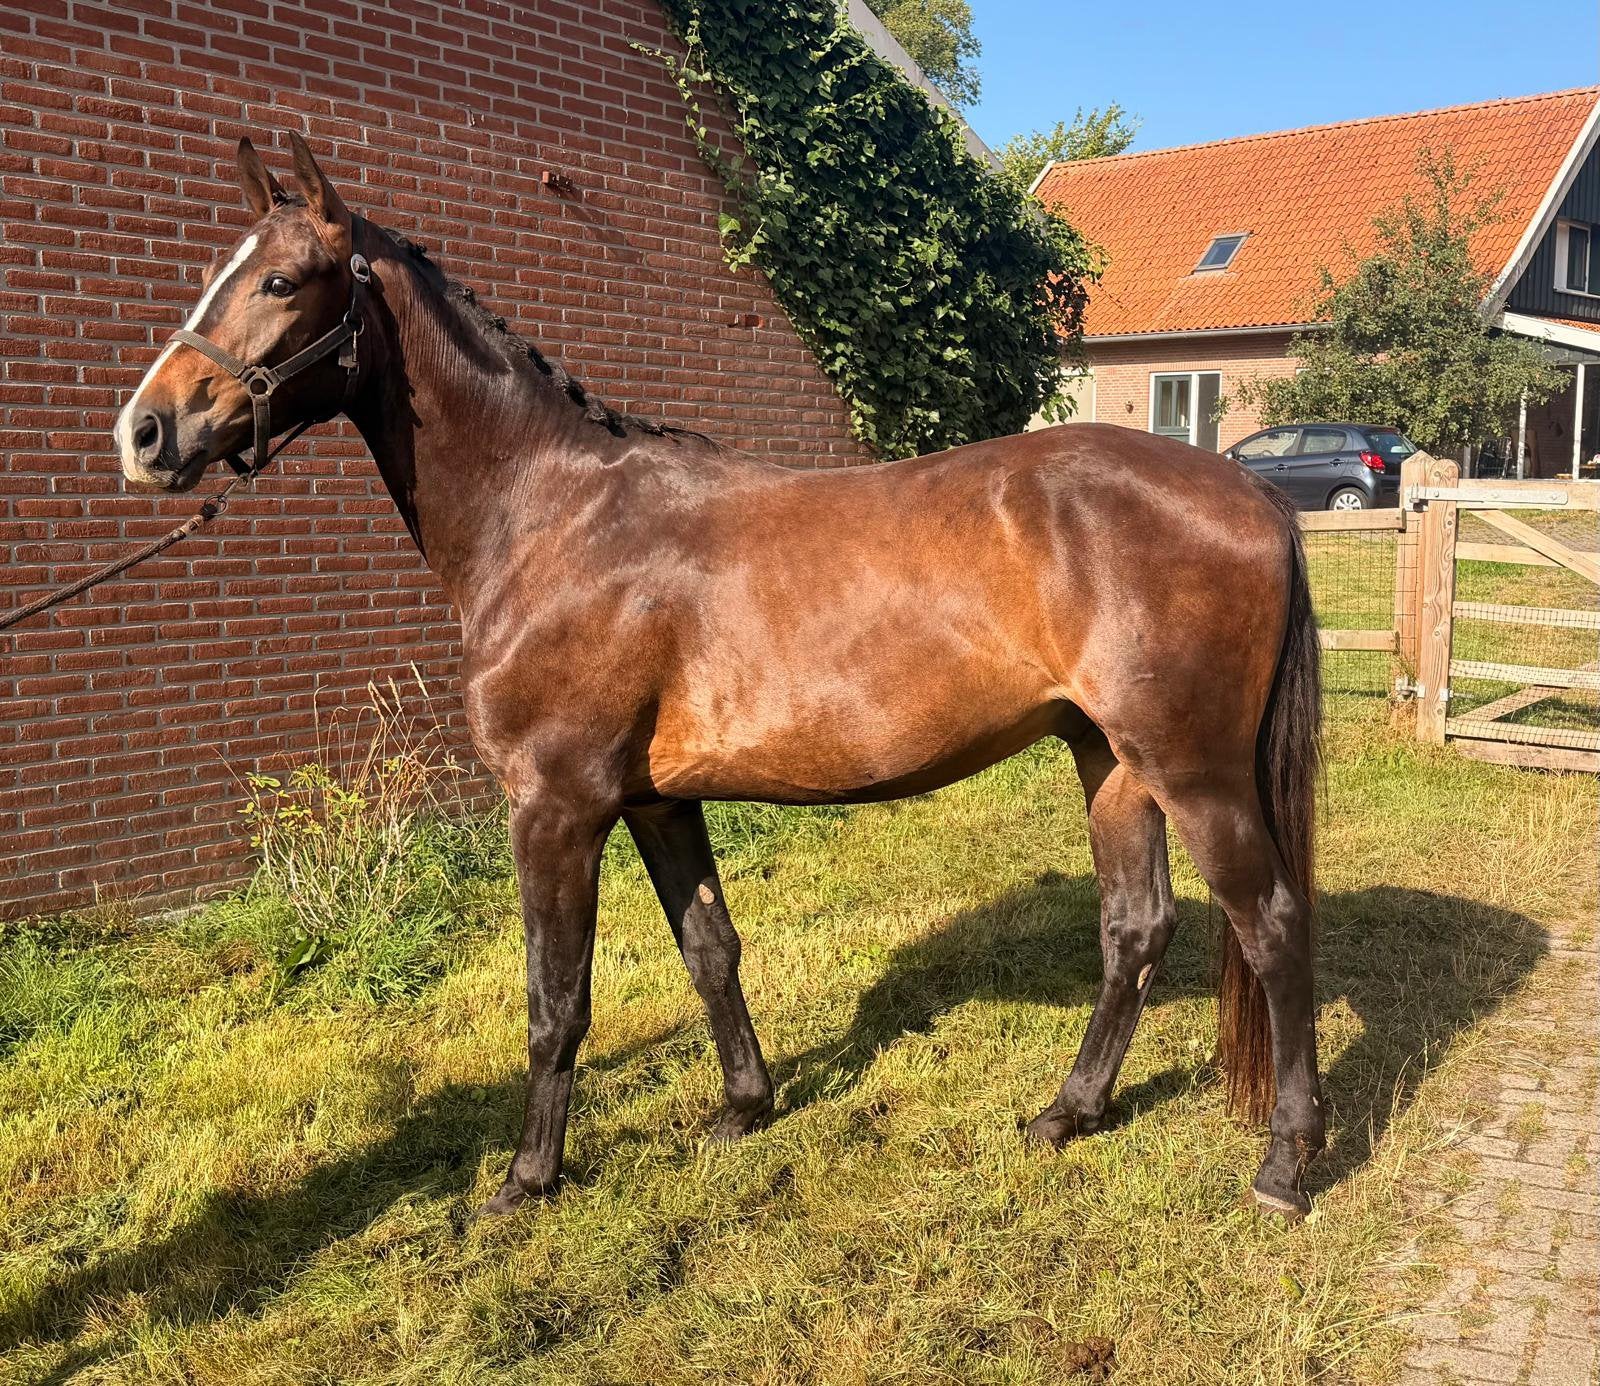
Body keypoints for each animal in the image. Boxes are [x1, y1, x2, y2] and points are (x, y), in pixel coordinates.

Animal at [114, 133, 1325, 1222]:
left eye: (280, 280)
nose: (146, 431)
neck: (550, 519)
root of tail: (1250, 493)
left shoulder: (555, 808)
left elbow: (556, 1002)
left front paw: (526, 1181)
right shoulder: (655, 800)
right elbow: (709, 947)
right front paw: (745, 1106)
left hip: (1193, 769)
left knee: (1269, 922)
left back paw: (1285, 1162)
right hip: (1109, 760)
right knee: (1137, 929)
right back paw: (1066, 1113)